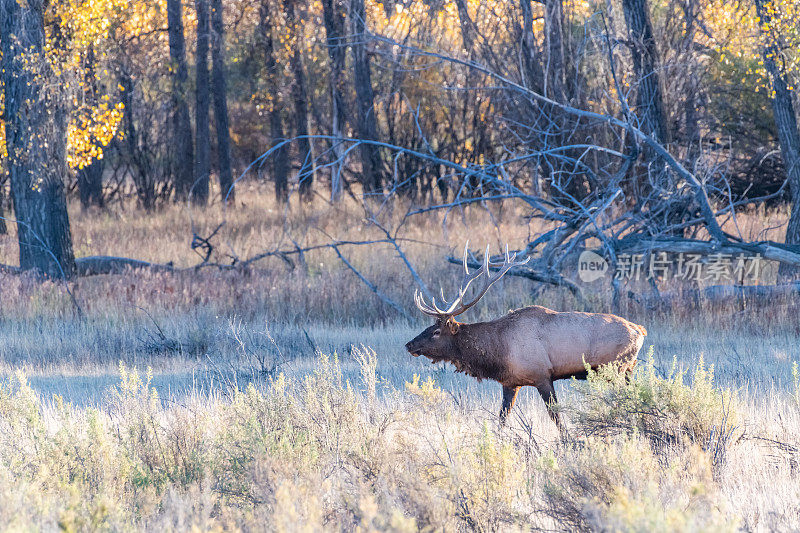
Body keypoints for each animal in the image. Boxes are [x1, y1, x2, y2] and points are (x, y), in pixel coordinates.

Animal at [404, 243, 648, 426]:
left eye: (436, 331)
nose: (409, 345)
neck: (498, 353)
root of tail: (640, 330)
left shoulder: (542, 375)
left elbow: (556, 417)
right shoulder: (510, 383)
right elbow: (502, 418)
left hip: (616, 369)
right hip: (628, 371)